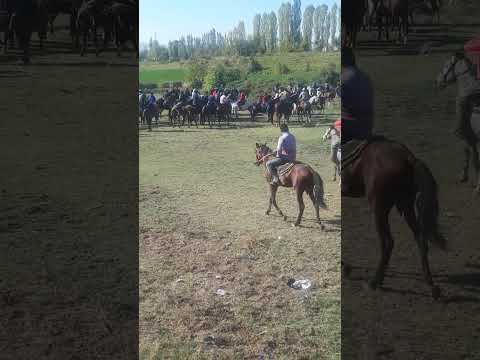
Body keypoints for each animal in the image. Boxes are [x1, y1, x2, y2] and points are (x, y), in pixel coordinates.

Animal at [342, 136, 446, 300]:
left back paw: (375, 282)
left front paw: (345, 268)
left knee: (388, 242)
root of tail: (408, 157)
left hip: (379, 209)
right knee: (420, 238)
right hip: (406, 205)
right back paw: (431, 285)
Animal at [436, 52, 480, 193]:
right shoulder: (472, 139)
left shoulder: (468, 136)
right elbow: (472, 155)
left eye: (446, 65)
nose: (438, 81)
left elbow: (472, 157)